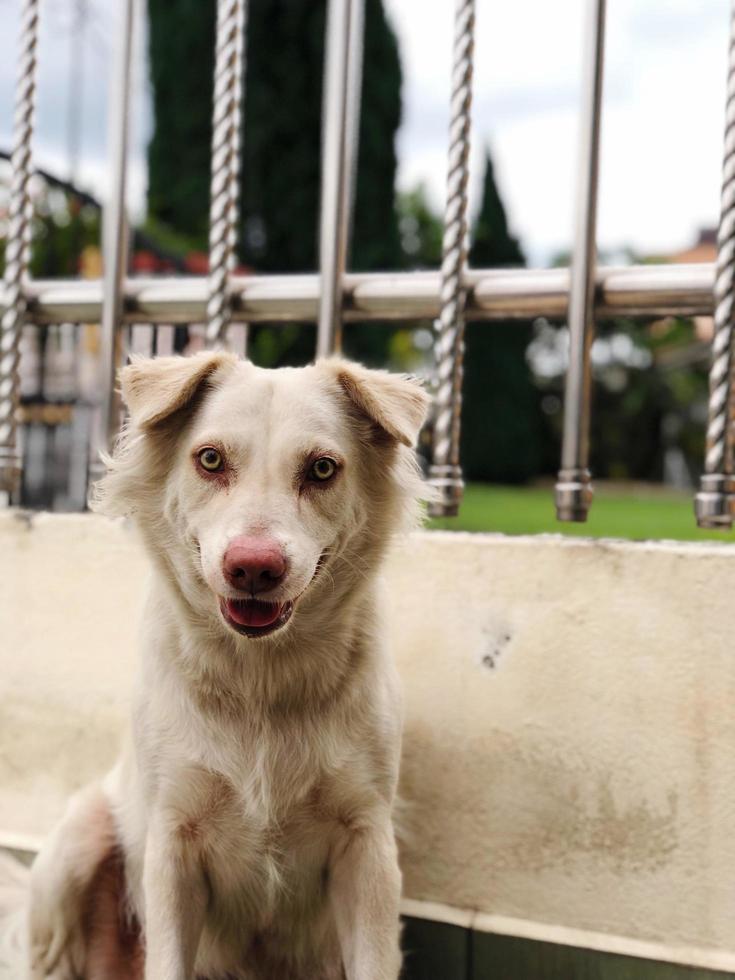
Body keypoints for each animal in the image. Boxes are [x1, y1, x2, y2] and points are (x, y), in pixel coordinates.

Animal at [10, 356, 432, 980]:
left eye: (322, 468)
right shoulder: (173, 845)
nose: (253, 568)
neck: (259, 679)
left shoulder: (368, 844)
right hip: (74, 849)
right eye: (210, 460)